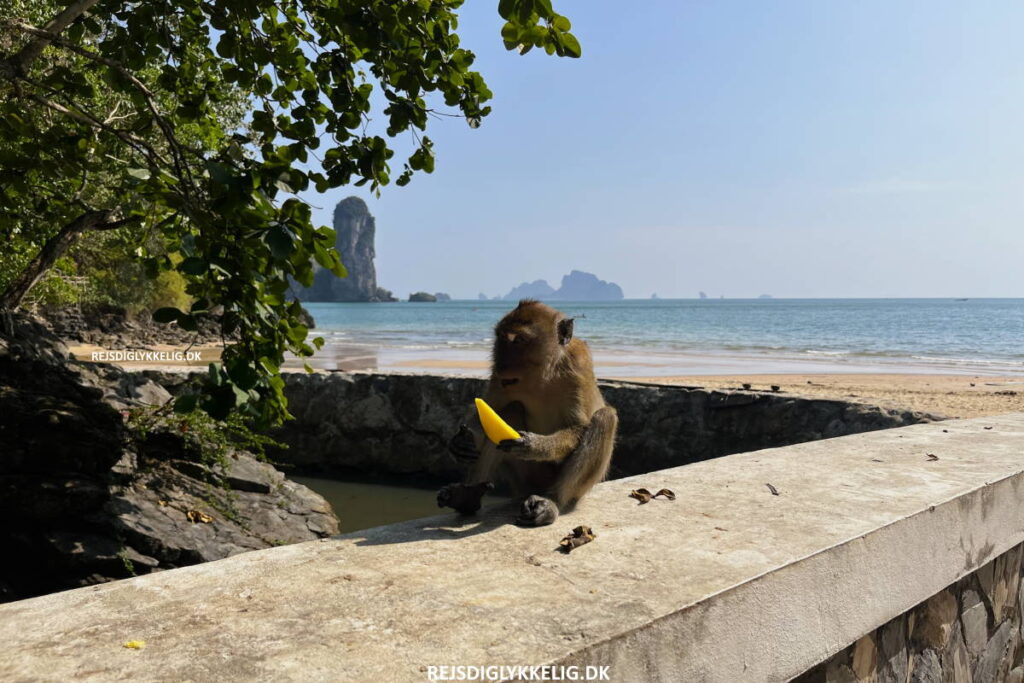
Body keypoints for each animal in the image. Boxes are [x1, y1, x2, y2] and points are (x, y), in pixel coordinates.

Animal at [438, 299, 618, 528]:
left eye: (520, 340)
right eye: (501, 338)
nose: (503, 362)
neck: (542, 375)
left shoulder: (578, 365)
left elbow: (579, 427)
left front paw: (535, 445)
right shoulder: (499, 377)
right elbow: (490, 407)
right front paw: (461, 442)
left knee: (605, 418)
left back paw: (551, 501)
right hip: (523, 479)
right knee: (512, 410)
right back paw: (467, 497)